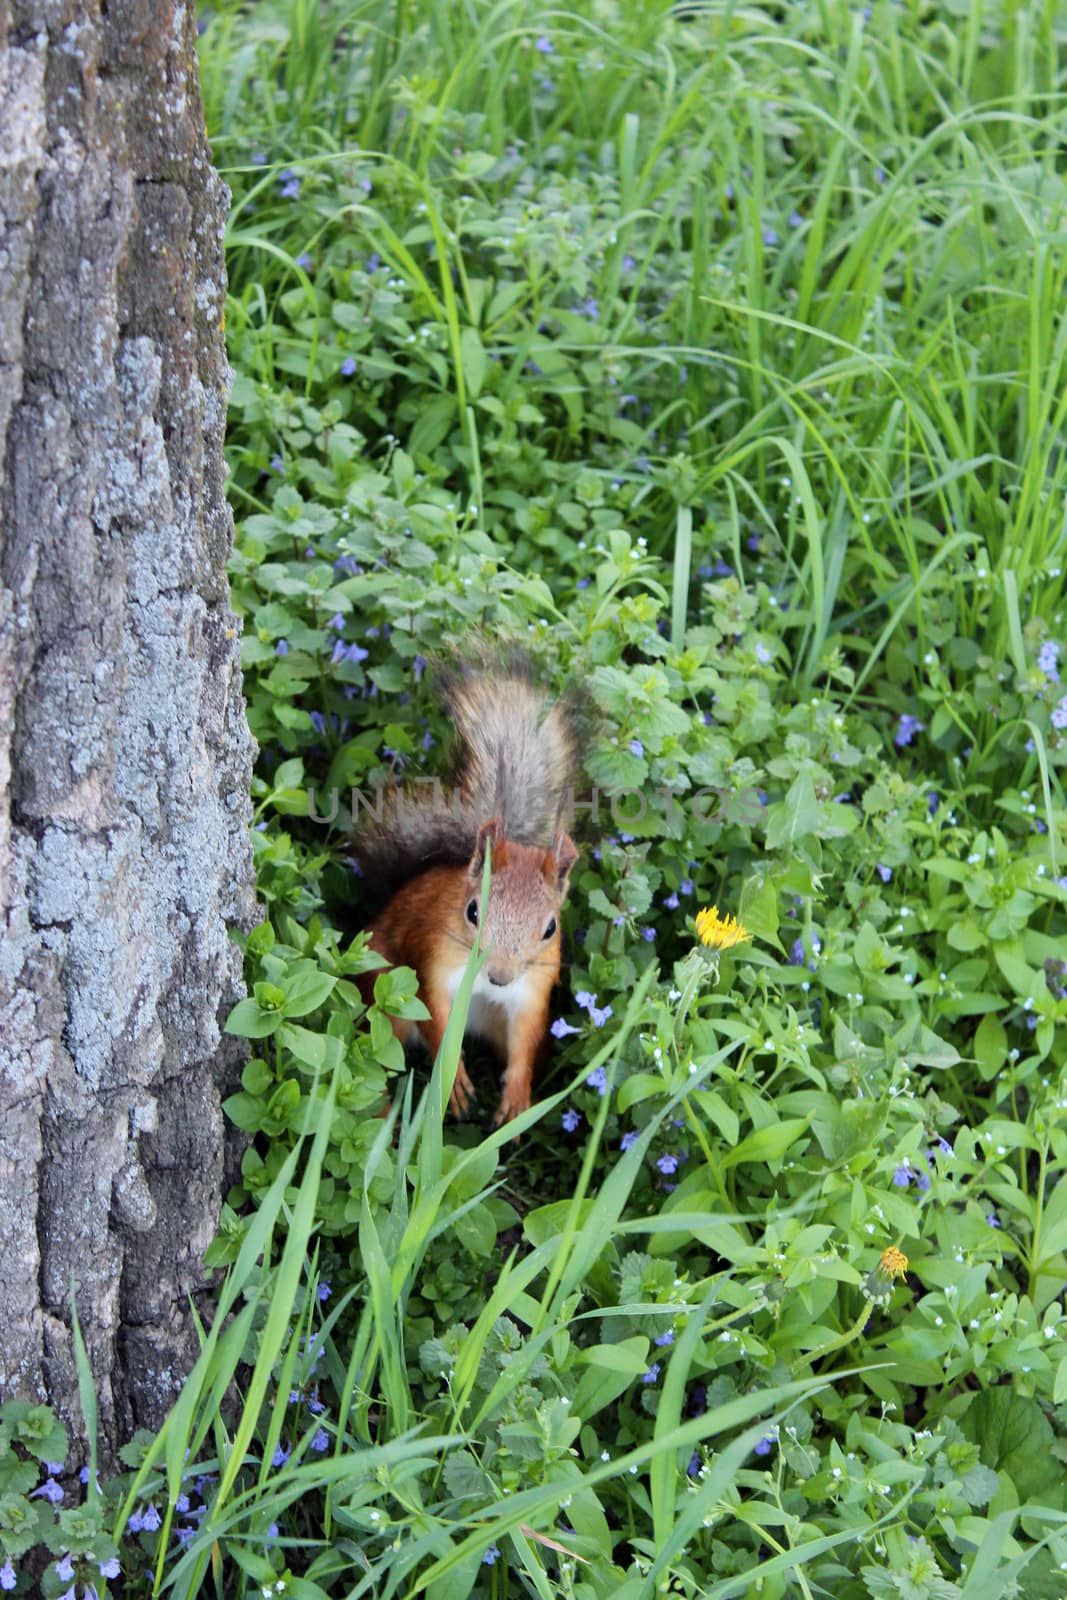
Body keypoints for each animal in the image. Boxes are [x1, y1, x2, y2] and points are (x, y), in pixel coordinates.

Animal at [355, 652, 579, 1126]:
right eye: (472, 911)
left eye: (550, 929)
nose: (499, 977)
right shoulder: (431, 962)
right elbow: (435, 1021)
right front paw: (453, 1082)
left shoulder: (533, 989)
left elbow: (525, 1042)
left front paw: (517, 1098)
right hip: (384, 995)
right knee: (377, 1051)